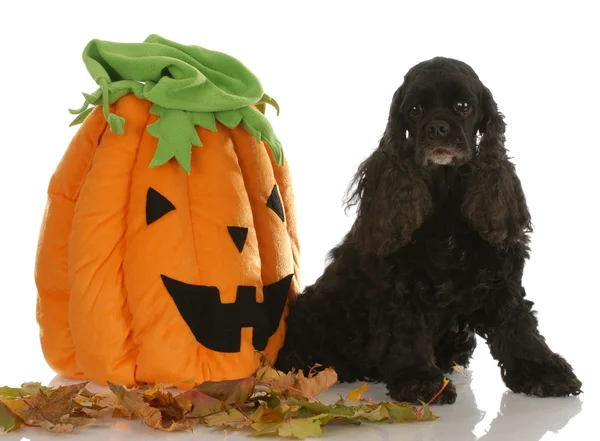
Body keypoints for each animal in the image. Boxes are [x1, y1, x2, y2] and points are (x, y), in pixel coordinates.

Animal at [276, 56, 580, 404]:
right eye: (415, 110)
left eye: (463, 106)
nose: (437, 128)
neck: (446, 192)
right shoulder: (400, 283)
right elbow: (406, 330)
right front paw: (419, 381)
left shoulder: (501, 276)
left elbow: (519, 325)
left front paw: (545, 372)